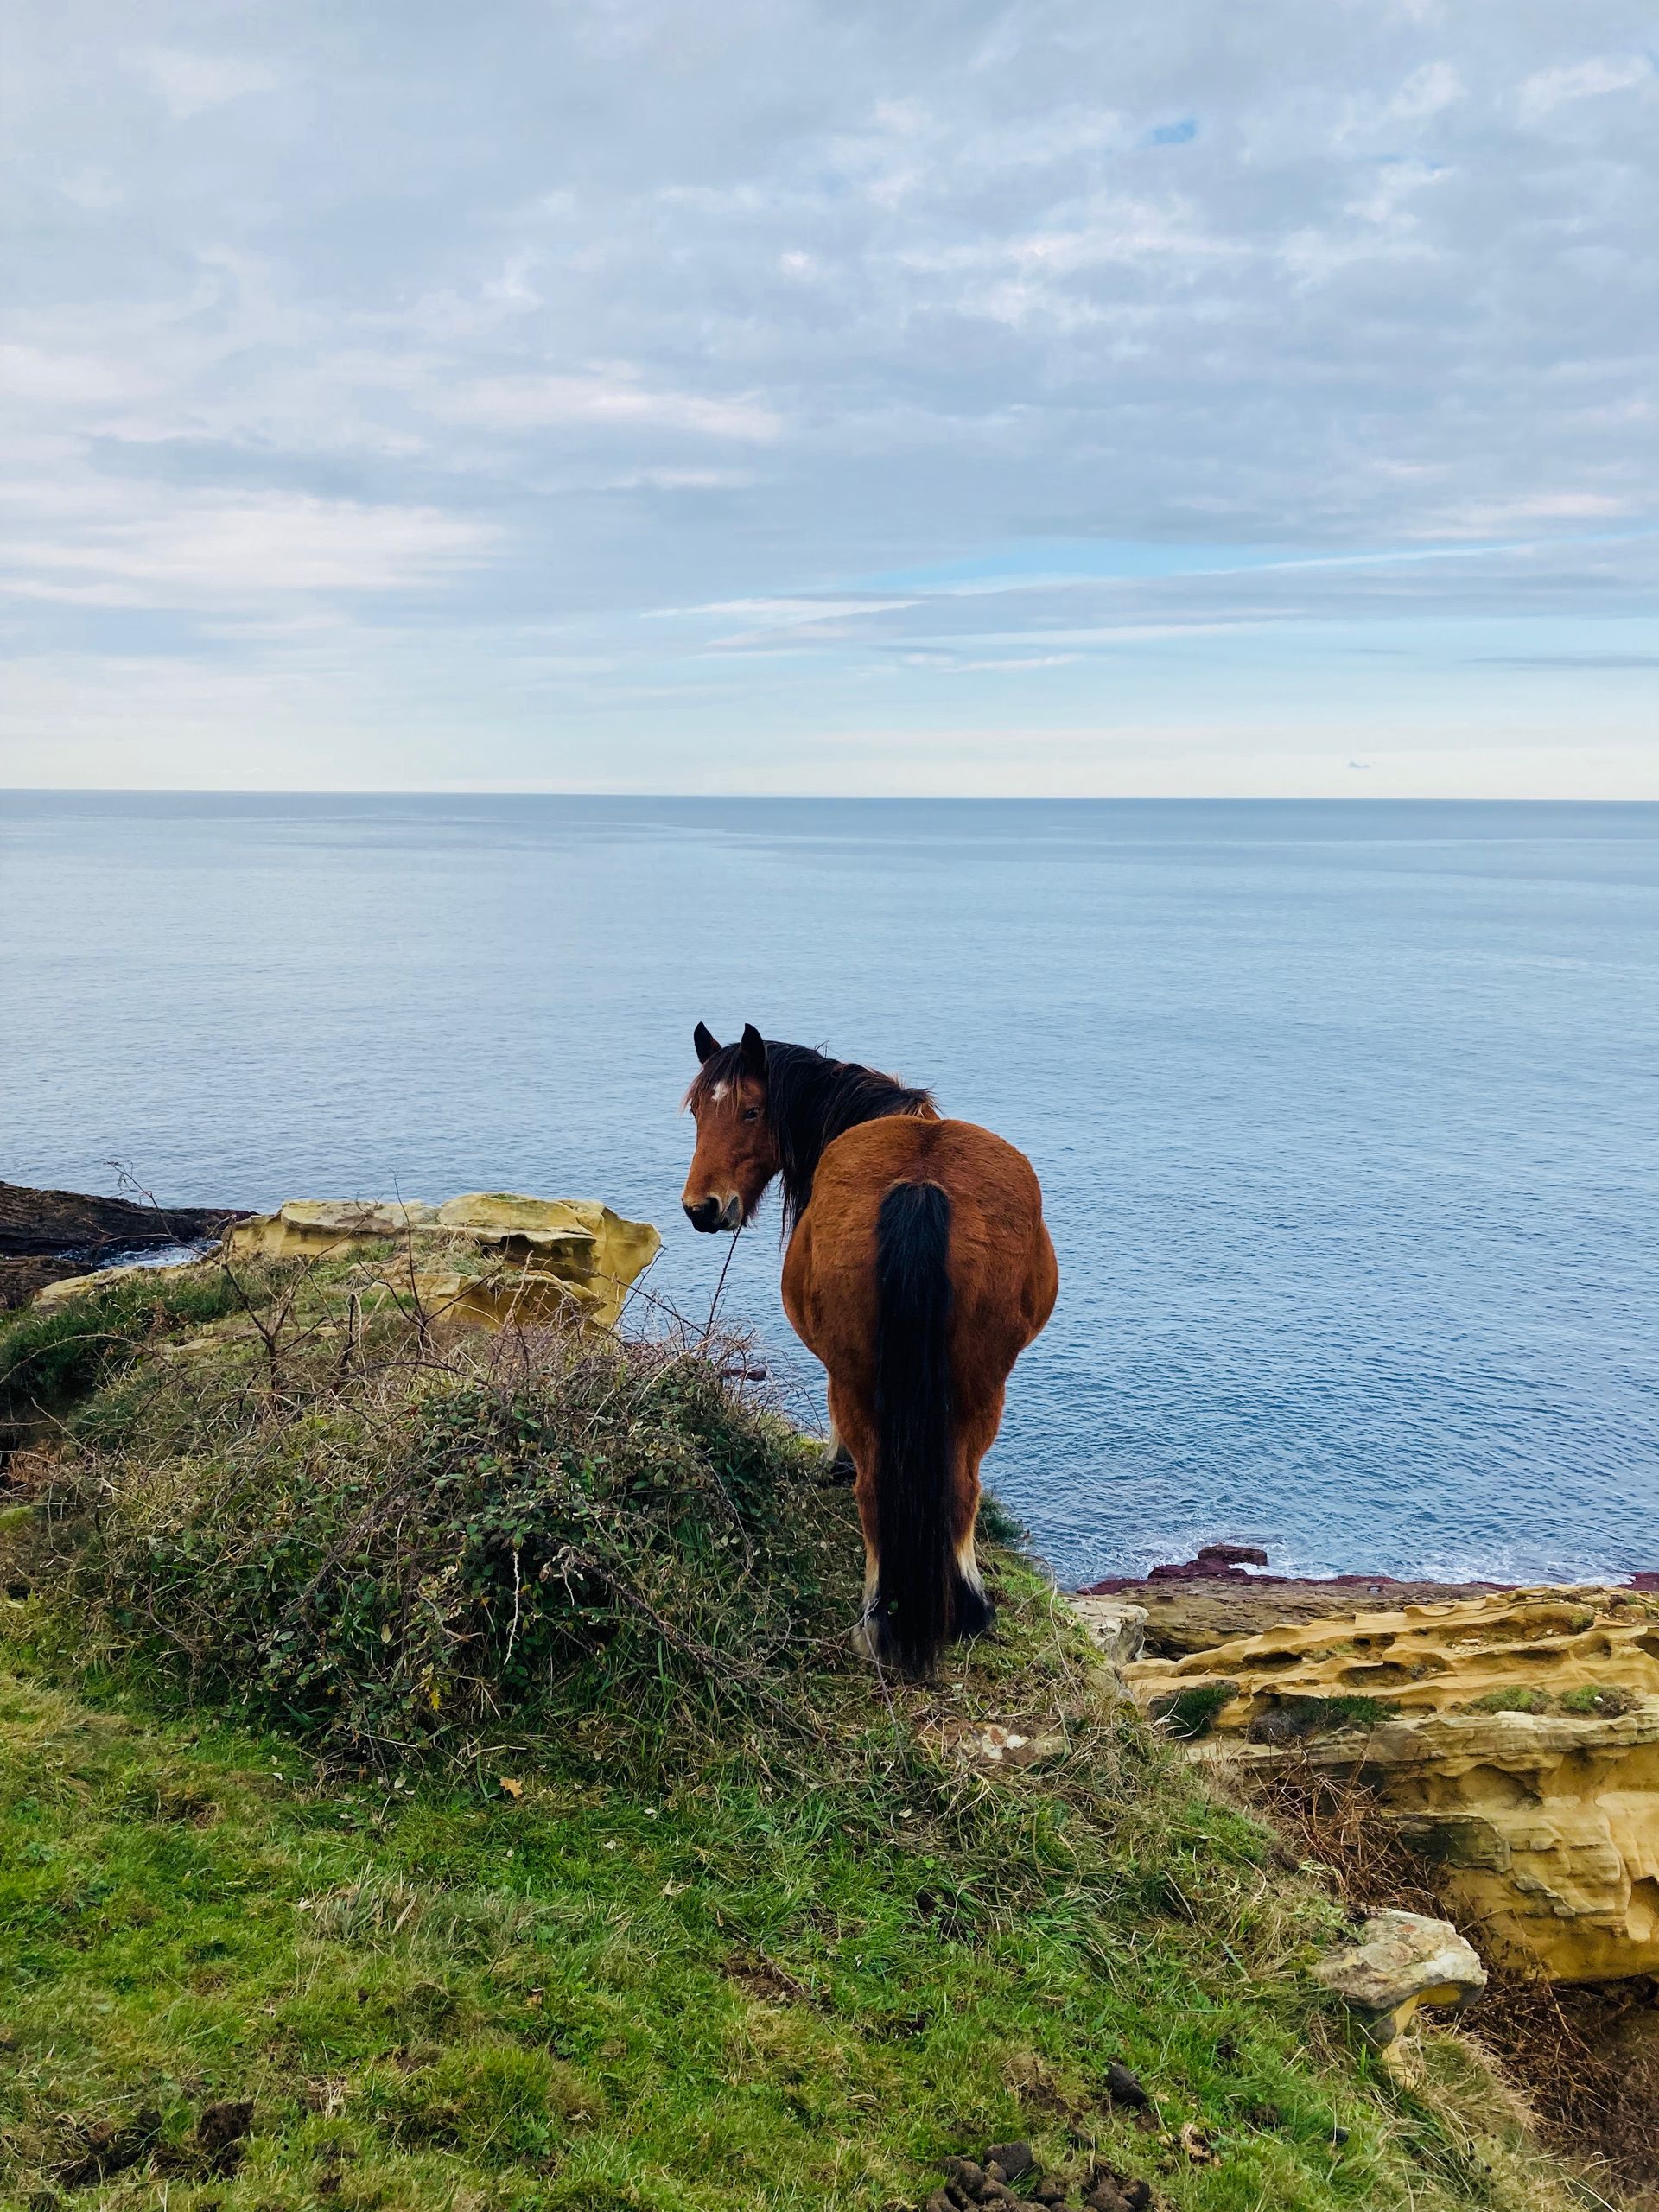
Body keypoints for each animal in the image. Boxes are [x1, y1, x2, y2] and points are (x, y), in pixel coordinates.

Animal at [681, 1022, 1058, 1677]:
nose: (703, 1208)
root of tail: (921, 1185)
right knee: (961, 1483)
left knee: (881, 1489)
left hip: (864, 1378)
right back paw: (964, 1610)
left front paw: (834, 1464)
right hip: (981, 1382)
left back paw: (885, 1622)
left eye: (751, 1111)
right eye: (699, 1110)